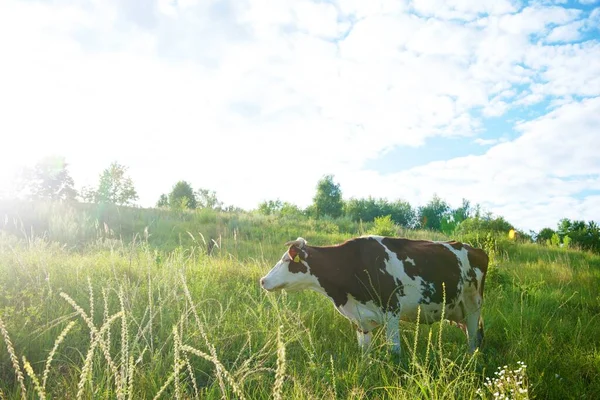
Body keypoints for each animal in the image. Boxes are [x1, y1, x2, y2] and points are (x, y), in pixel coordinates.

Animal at [258, 236, 488, 354]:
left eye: (287, 261)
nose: (262, 280)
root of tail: (473, 247)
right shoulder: (359, 318)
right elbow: (364, 352)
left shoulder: (392, 311)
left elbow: (394, 351)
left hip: (473, 303)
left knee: (473, 336)